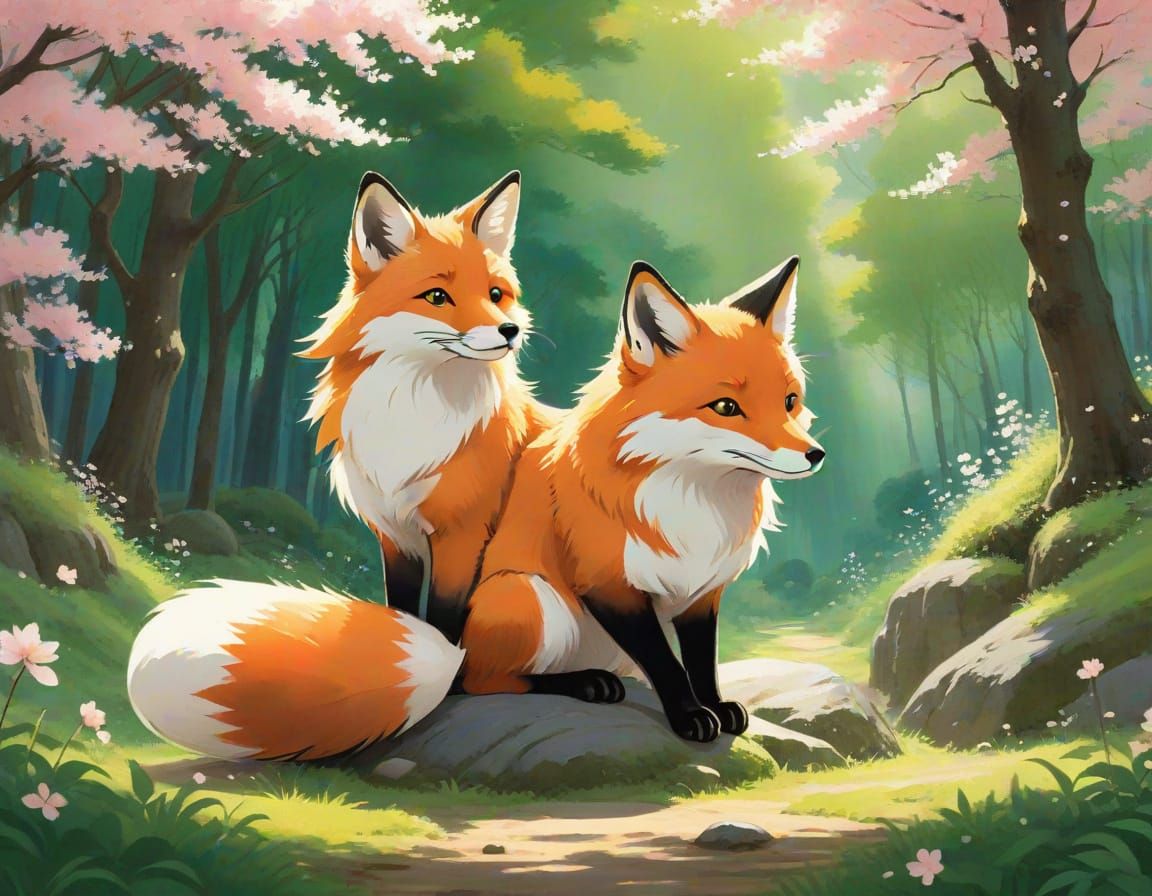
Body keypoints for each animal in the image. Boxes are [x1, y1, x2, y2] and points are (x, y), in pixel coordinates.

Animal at [125, 257, 824, 760]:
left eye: (790, 401)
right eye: (726, 408)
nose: (816, 455)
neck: (694, 503)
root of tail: (449, 650)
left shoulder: (702, 593)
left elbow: (700, 659)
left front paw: (717, 706)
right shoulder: (608, 582)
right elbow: (667, 663)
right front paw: (688, 716)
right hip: (529, 598)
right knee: (481, 681)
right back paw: (580, 685)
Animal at [297, 170, 554, 642]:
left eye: (496, 294)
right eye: (437, 296)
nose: (509, 331)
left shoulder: (462, 542)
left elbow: (443, 621)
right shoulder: (396, 538)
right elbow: (403, 611)